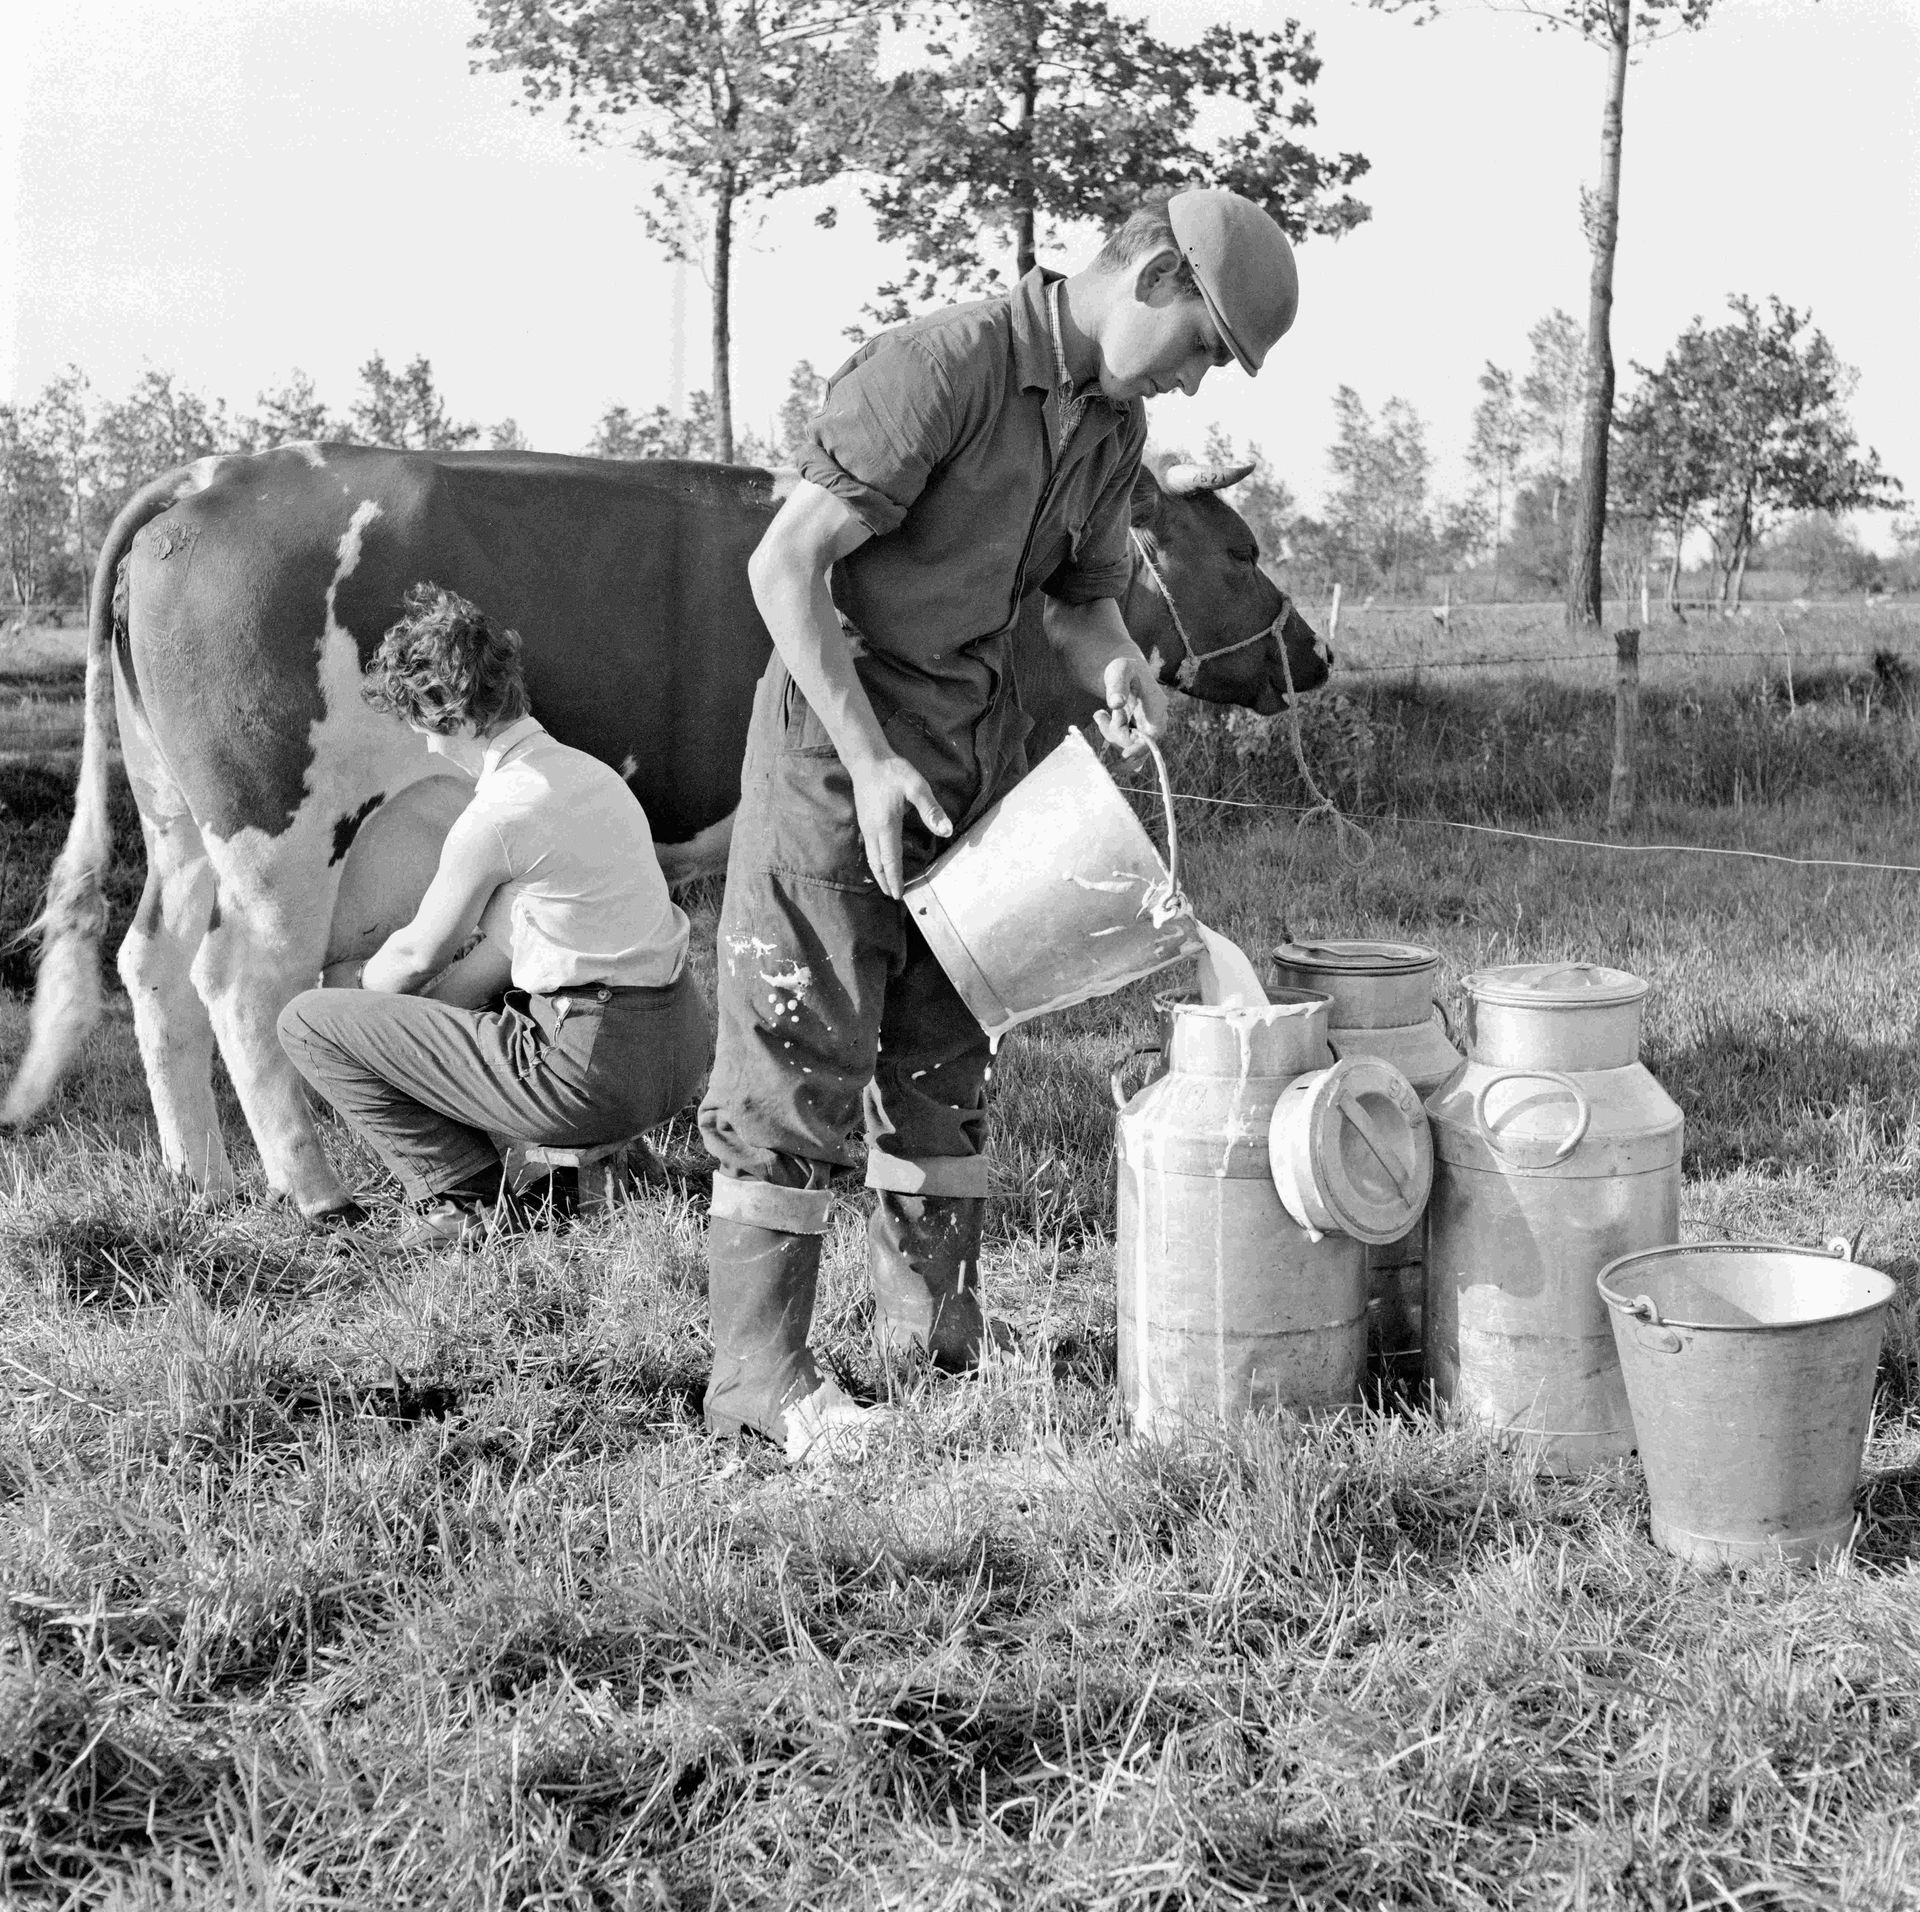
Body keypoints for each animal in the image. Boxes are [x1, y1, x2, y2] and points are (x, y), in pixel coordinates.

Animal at [3, 443, 1320, 1220]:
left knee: (150, 965)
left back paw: (201, 1172)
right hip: (281, 827)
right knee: (244, 982)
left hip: (181, 818)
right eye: (1242, 549)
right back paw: (310, 1187)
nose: (1313, 652)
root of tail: (206, 476)